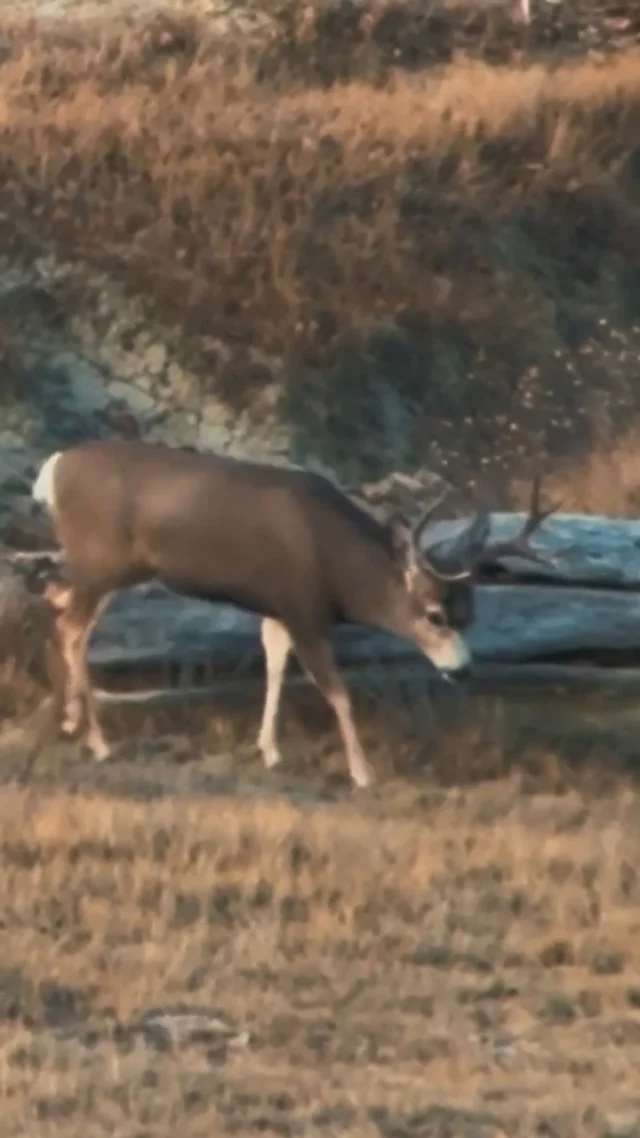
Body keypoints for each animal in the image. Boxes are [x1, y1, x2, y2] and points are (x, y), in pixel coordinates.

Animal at [32, 439, 558, 787]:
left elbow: (274, 664)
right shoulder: (304, 608)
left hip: (101, 569)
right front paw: (363, 772)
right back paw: (98, 741)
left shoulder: (279, 606)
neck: (337, 567)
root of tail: (53, 468)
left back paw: (69, 719)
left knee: (60, 608)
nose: (463, 670)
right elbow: (337, 691)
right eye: (434, 615)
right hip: (101, 561)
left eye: (470, 613)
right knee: (72, 625)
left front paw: (270, 750)